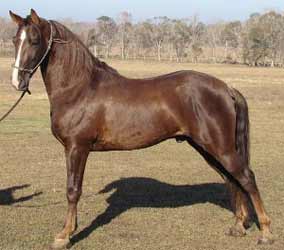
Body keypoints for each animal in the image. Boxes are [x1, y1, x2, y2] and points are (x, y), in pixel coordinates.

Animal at [10, 9, 274, 248]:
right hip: (207, 148)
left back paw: (266, 233)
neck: (79, 88)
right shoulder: (73, 149)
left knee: (246, 177)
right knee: (231, 179)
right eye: (15, 40)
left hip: (221, 148)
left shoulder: (77, 148)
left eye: (34, 40)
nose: (17, 82)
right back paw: (239, 226)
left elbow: (73, 190)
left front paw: (64, 235)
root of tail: (226, 88)